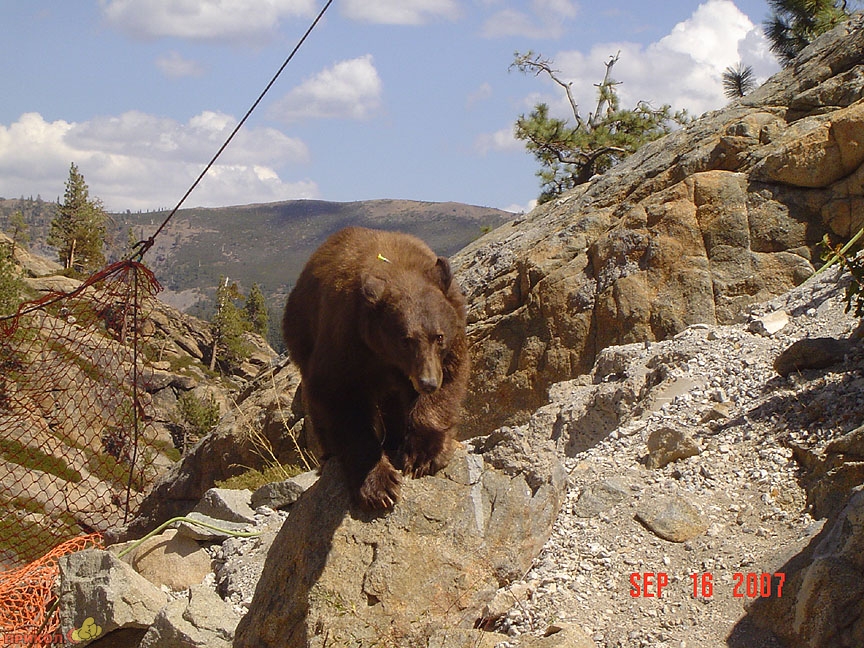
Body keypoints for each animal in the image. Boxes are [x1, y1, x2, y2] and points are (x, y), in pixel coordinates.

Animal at [282, 226, 470, 511]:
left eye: (438, 336)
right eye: (405, 340)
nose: (427, 382)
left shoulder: (452, 327)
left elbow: (448, 379)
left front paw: (423, 454)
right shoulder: (346, 340)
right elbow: (339, 399)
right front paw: (378, 485)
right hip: (301, 334)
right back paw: (329, 456)